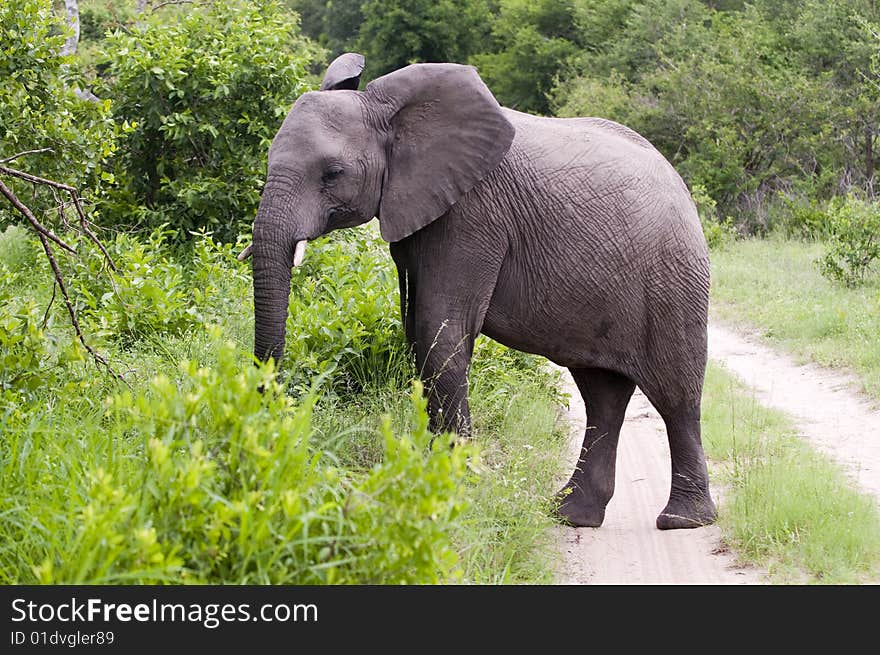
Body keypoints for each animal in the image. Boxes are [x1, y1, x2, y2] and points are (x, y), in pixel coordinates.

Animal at [241, 53, 716, 532]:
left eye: (333, 173)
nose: (269, 421)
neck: (390, 113)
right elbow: (419, 334)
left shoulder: (472, 214)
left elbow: (438, 330)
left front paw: (456, 483)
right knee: (602, 396)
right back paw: (570, 516)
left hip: (673, 278)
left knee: (676, 395)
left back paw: (682, 520)